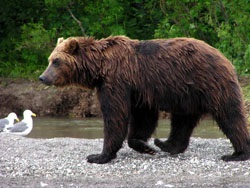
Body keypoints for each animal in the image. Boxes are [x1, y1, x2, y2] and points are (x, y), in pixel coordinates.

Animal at [38, 35, 250, 163]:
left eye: (56, 61)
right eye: (49, 60)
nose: (42, 77)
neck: (99, 67)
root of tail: (222, 56)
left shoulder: (117, 82)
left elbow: (115, 115)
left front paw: (98, 155)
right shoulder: (138, 90)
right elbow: (143, 118)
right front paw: (145, 146)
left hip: (210, 83)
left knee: (230, 115)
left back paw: (238, 153)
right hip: (187, 93)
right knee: (183, 120)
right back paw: (165, 144)